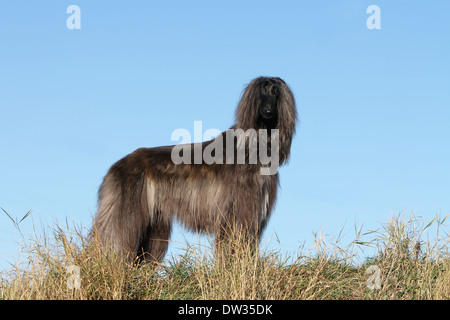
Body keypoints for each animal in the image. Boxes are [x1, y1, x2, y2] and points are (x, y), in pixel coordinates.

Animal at [92, 77, 296, 262]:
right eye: (260, 93)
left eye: (276, 91)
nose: (268, 112)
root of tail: (117, 165)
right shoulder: (238, 213)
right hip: (126, 211)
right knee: (113, 241)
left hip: (154, 223)